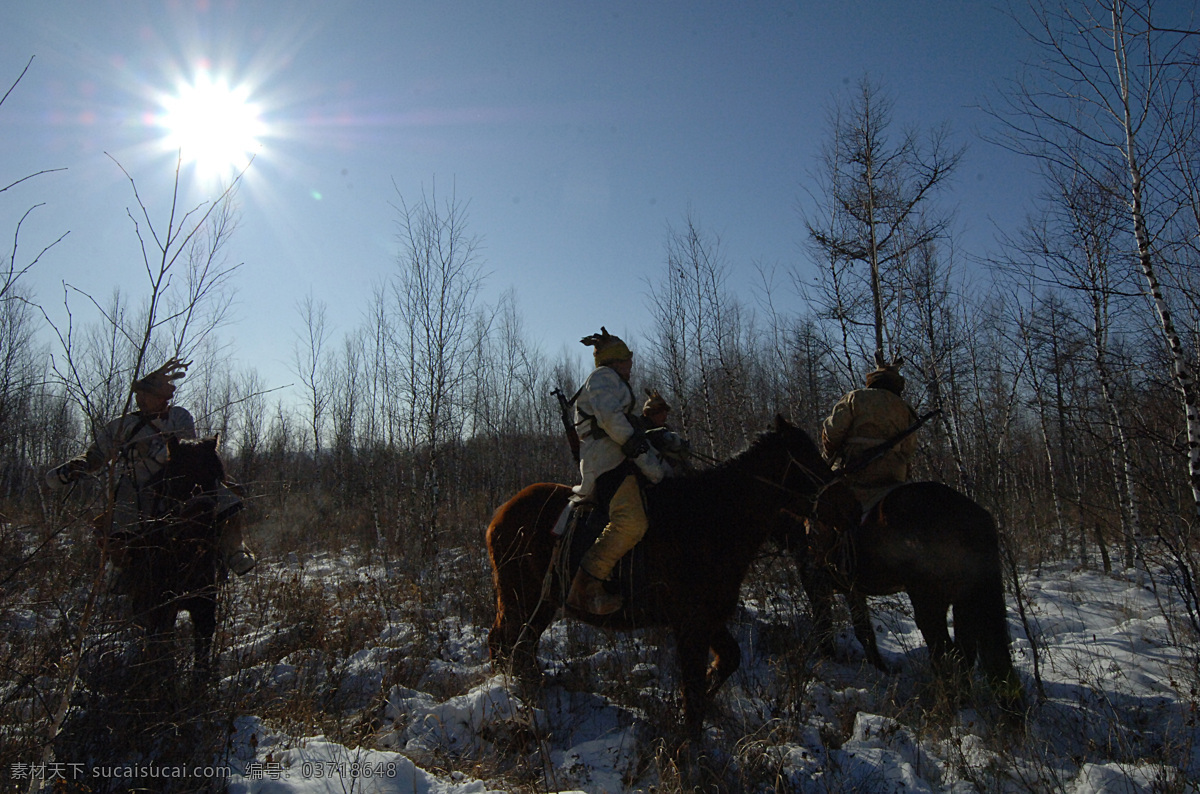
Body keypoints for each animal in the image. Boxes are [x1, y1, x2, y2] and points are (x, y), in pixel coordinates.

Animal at [124, 436, 229, 686]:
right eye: (176, 477)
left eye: (216, 476)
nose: (202, 523)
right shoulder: (162, 604)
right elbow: (163, 638)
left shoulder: (204, 601)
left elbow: (203, 638)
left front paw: (200, 681)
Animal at [484, 419, 825, 738]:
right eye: (806, 455)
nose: (832, 495)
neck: (710, 518)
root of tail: (500, 514)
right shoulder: (692, 625)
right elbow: (694, 695)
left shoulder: (707, 620)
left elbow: (728, 660)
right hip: (519, 598)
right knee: (504, 642)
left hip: (541, 603)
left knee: (520, 645)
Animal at [796, 479, 1022, 710]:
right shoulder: (852, 588)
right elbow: (864, 630)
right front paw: (880, 669)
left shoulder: (815, 581)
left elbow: (824, 624)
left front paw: (828, 659)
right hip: (965, 603)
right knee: (966, 654)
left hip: (930, 603)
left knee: (945, 653)